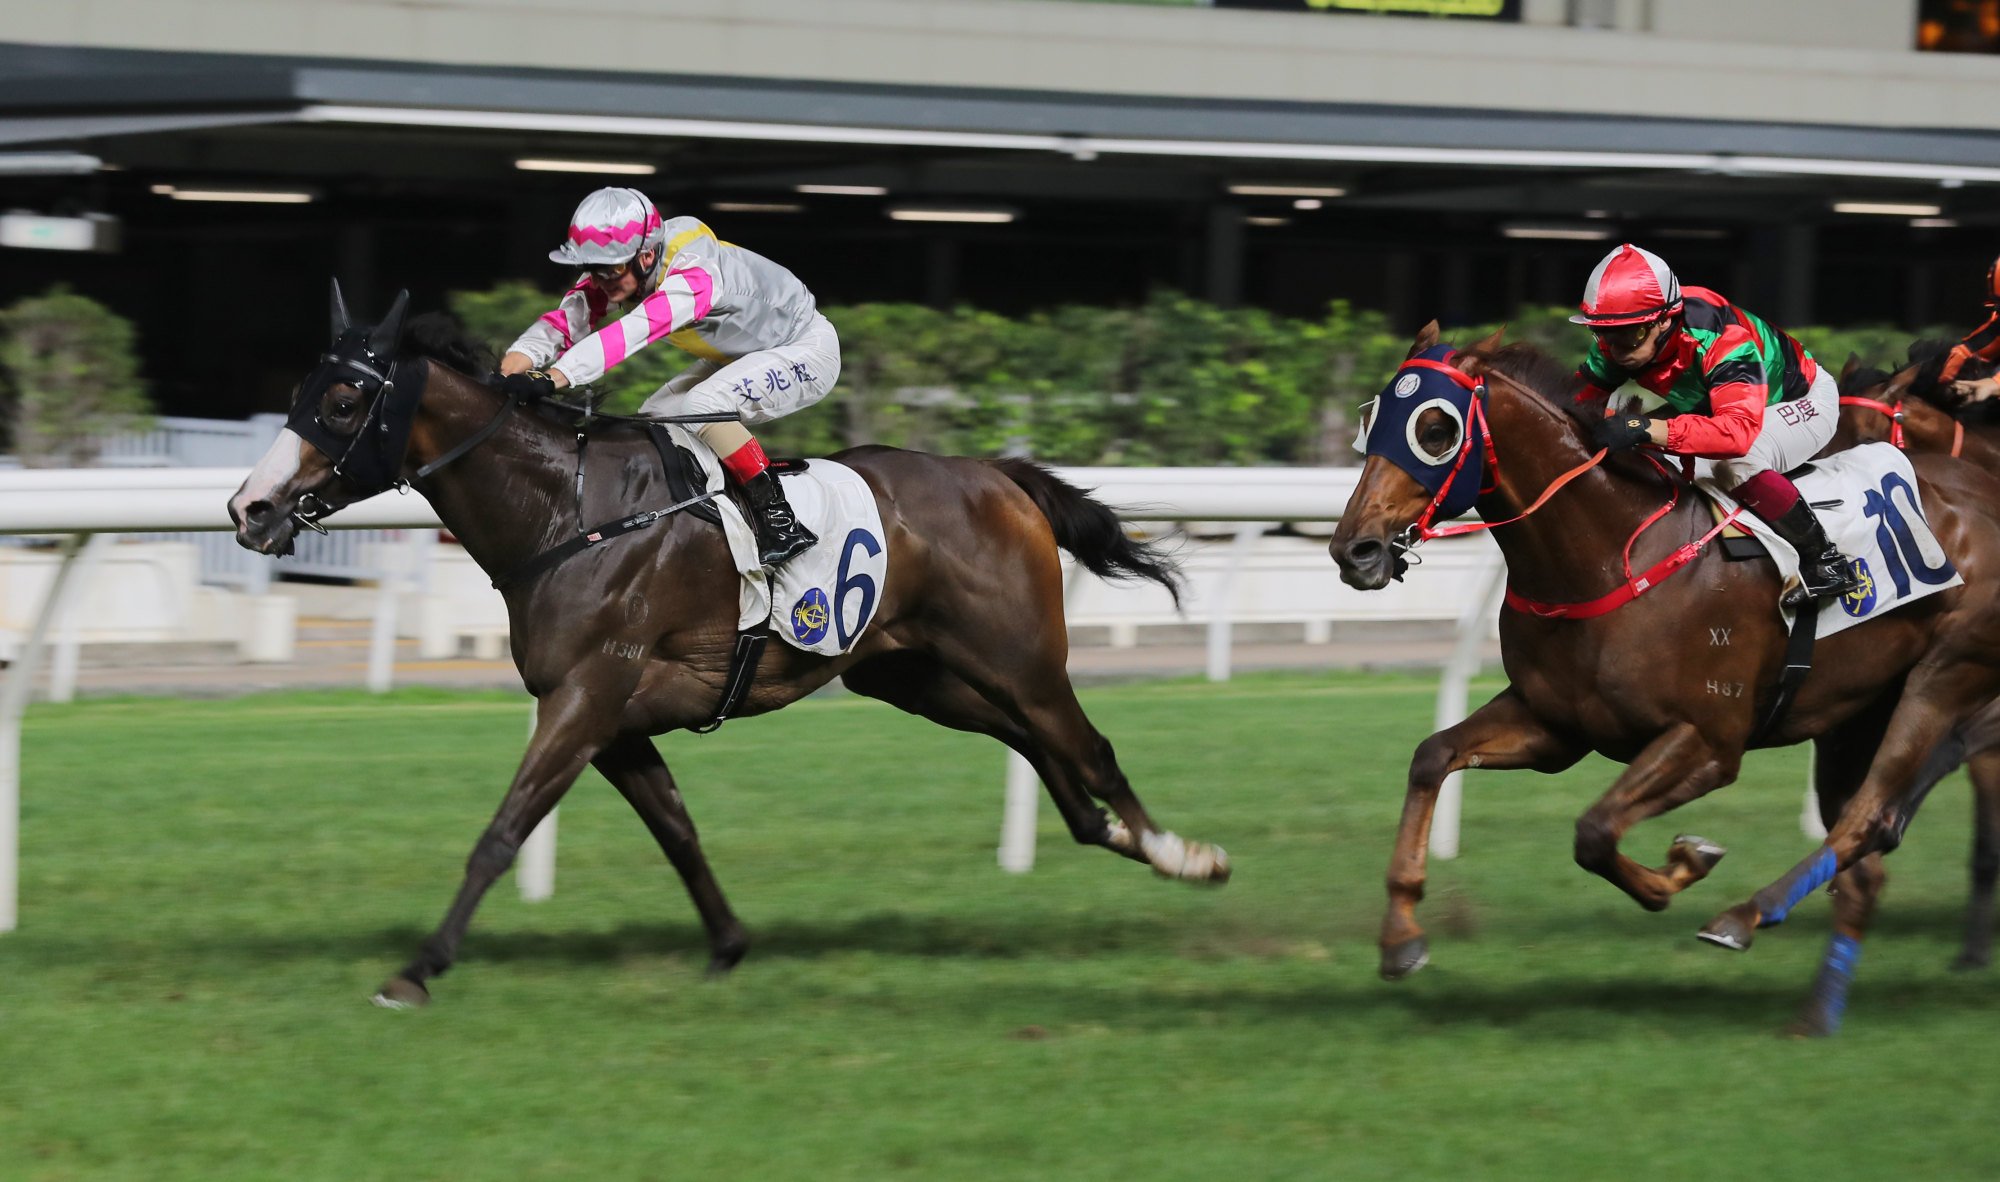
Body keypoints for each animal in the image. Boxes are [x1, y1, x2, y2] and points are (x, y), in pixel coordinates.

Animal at [227, 286, 1224, 1008]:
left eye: (344, 399)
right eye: (299, 394)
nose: (250, 508)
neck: (568, 514)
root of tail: (998, 475)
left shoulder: (585, 698)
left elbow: (502, 833)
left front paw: (419, 967)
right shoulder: (613, 720)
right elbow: (677, 830)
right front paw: (730, 946)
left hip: (1019, 657)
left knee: (1087, 745)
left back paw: (1182, 854)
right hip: (917, 676)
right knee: (1040, 749)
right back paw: (1114, 836)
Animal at [1328, 324, 2000, 1040]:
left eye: (1434, 429)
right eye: (1373, 420)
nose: (1354, 551)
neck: (1608, 555)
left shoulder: (1708, 742)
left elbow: (1595, 832)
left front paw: (1687, 862)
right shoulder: (1554, 726)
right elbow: (1432, 757)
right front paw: (1400, 936)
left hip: (1945, 675)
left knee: (1869, 820)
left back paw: (1742, 918)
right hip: (1854, 719)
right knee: (1866, 867)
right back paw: (1816, 1014)